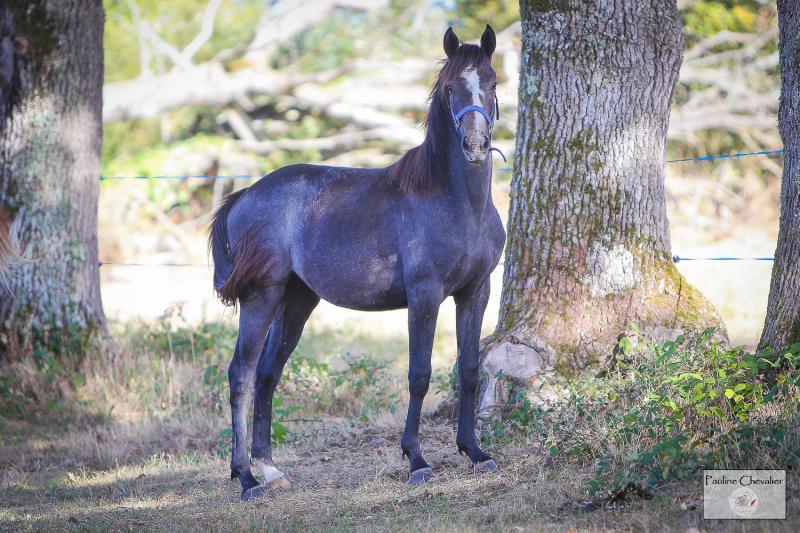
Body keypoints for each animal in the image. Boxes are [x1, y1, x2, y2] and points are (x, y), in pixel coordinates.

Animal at [209, 25, 505, 501]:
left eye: (492, 83)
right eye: (450, 88)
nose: (475, 145)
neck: (455, 201)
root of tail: (244, 195)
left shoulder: (476, 292)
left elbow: (470, 369)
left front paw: (475, 452)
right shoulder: (425, 296)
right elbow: (419, 374)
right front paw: (417, 460)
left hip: (297, 300)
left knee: (268, 373)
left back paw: (270, 469)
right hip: (262, 297)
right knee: (242, 374)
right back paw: (247, 477)